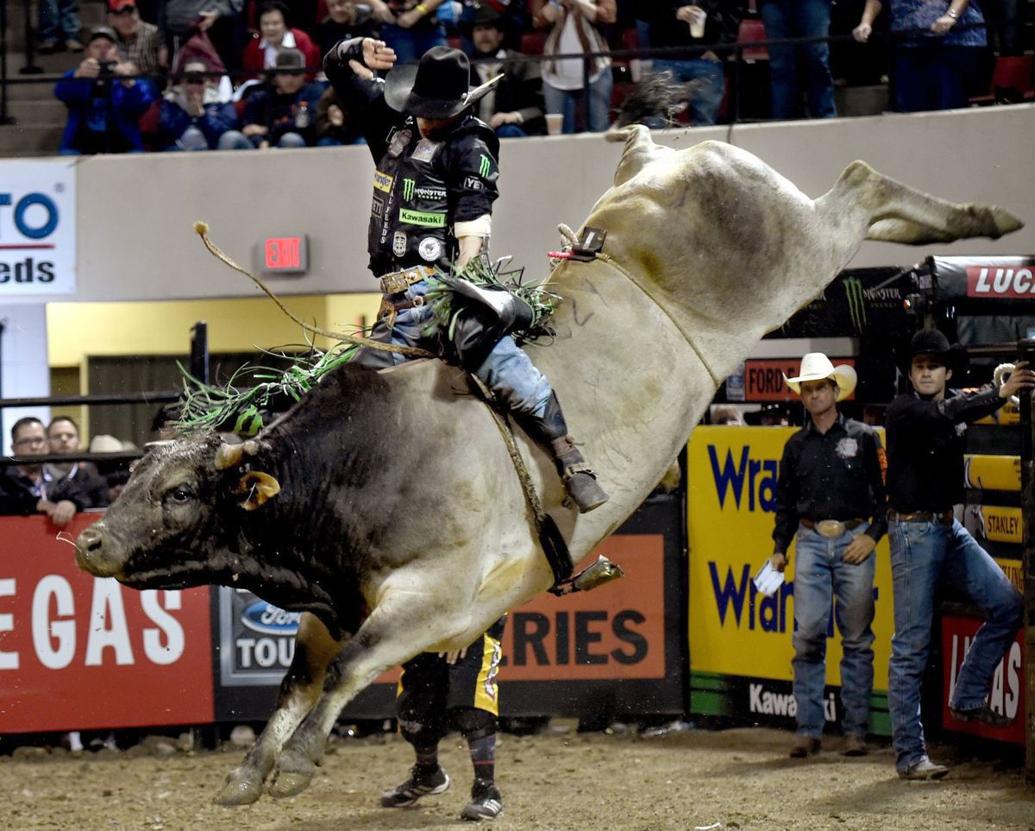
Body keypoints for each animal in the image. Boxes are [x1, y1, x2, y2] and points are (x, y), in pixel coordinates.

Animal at [75, 125, 1026, 807]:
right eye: (136, 477)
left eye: (180, 490)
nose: (88, 542)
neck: (355, 469)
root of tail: (660, 163)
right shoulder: (336, 600)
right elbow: (299, 677)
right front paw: (247, 774)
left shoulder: (441, 597)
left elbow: (352, 669)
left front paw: (302, 763)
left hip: (793, 248)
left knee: (861, 183)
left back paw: (984, 221)